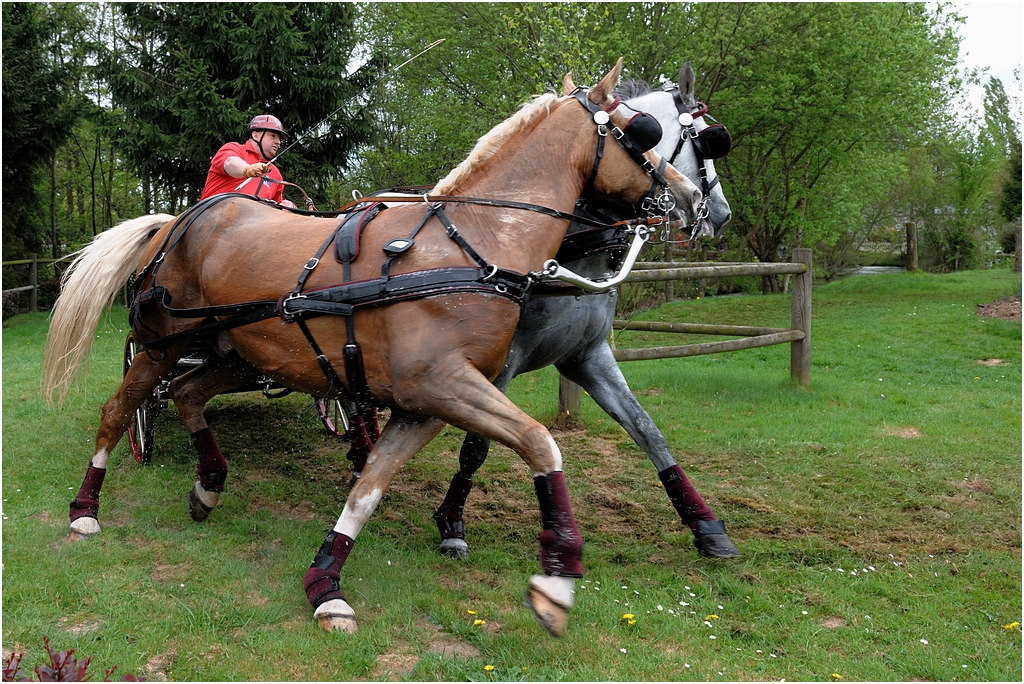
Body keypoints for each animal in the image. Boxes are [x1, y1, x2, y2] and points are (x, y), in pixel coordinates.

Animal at [42, 59, 703, 636]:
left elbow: (367, 489)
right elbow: (542, 443)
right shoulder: (443, 386)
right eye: (641, 131)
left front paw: (325, 580)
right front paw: (557, 577)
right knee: (121, 409)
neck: (475, 245)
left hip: (241, 354)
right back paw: (85, 507)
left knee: (186, 391)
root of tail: (179, 221)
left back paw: (209, 483)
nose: (692, 198)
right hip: (160, 344)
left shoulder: (423, 405)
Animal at [430, 62, 740, 561]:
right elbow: (477, 445)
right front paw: (452, 522)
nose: (719, 212)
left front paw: (705, 523)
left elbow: (647, 429)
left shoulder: (587, 356)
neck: (574, 250)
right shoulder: (501, 361)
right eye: (709, 140)